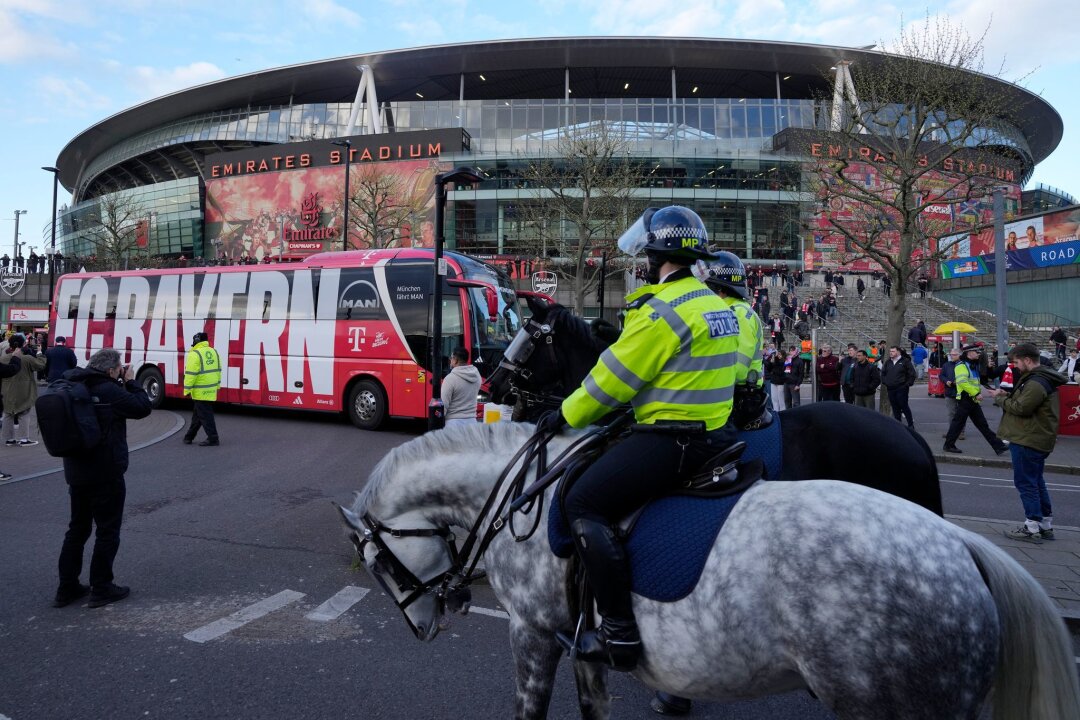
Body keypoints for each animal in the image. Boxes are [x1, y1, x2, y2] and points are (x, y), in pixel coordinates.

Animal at [339, 423, 1080, 720]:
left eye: (378, 565)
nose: (426, 624)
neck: (530, 494)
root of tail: (960, 544)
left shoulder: (534, 631)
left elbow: (531, 708)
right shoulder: (581, 644)